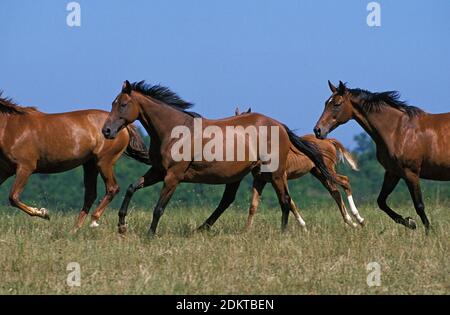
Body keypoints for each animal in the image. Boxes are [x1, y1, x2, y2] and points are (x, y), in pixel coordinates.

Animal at [0, 92, 150, 230]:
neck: (11, 128)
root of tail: (125, 127)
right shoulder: (5, 170)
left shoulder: (25, 167)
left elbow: (13, 197)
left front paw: (43, 213)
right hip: (90, 165)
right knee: (90, 195)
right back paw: (75, 230)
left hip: (104, 162)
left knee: (112, 188)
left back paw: (94, 221)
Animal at [101, 80, 334, 236]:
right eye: (113, 103)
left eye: (122, 105)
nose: (106, 131)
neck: (173, 131)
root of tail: (280, 126)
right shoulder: (158, 171)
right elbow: (131, 187)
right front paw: (122, 225)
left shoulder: (173, 176)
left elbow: (159, 207)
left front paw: (150, 235)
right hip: (241, 175)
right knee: (227, 201)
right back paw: (201, 228)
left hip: (274, 172)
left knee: (284, 200)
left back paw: (282, 233)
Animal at [234, 107, 364, 230]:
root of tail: (329, 140)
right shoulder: (260, 180)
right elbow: (253, 206)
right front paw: (246, 230)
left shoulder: (281, 178)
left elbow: (289, 202)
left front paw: (303, 226)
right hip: (319, 173)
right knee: (335, 192)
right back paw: (350, 222)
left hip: (327, 170)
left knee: (344, 181)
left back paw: (358, 219)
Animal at [312, 81, 450, 235]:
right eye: (326, 103)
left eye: (337, 104)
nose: (318, 130)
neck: (398, 130)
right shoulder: (393, 173)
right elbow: (381, 202)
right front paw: (409, 222)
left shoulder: (411, 173)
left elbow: (419, 205)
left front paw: (427, 234)